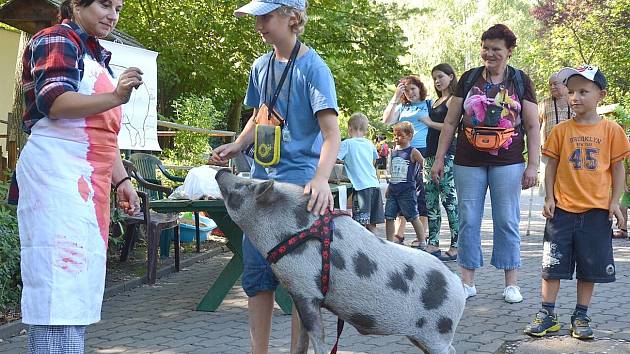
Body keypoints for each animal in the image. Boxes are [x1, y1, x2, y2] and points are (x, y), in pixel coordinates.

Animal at [215, 170, 466, 352]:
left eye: (247, 186)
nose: (221, 171)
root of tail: (458, 285)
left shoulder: (307, 291)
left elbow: (318, 337)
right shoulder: (299, 293)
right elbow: (302, 339)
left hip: (438, 333)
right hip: (420, 336)